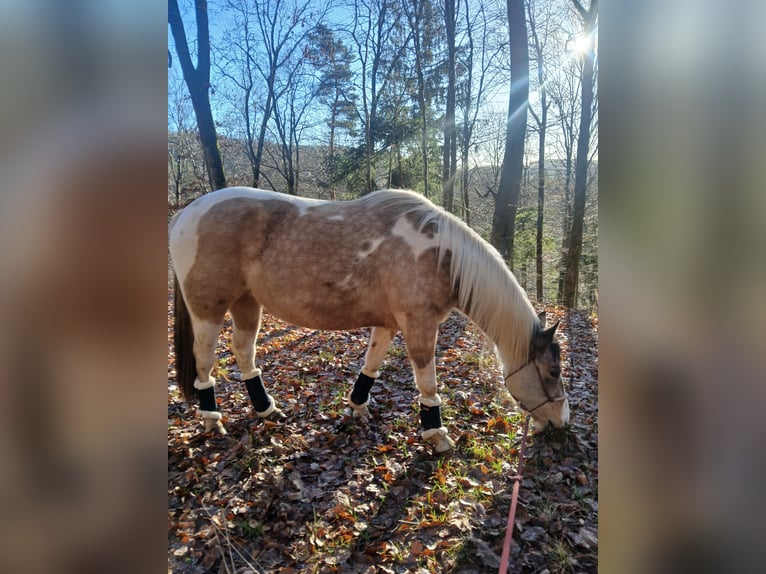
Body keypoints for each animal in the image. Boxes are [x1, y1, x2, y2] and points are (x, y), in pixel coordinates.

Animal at [169, 187, 569, 452]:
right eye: (553, 371)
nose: (561, 422)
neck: (440, 255)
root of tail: (185, 214)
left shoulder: (388, 323)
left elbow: (371, 363)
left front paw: (358, 408)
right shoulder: (419, 324)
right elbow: (427, 381)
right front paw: (437, 435)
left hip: (247, 303)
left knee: (243, 352)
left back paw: (267, 409)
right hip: (209, 309)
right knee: (205, 360)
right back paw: (211, 419)